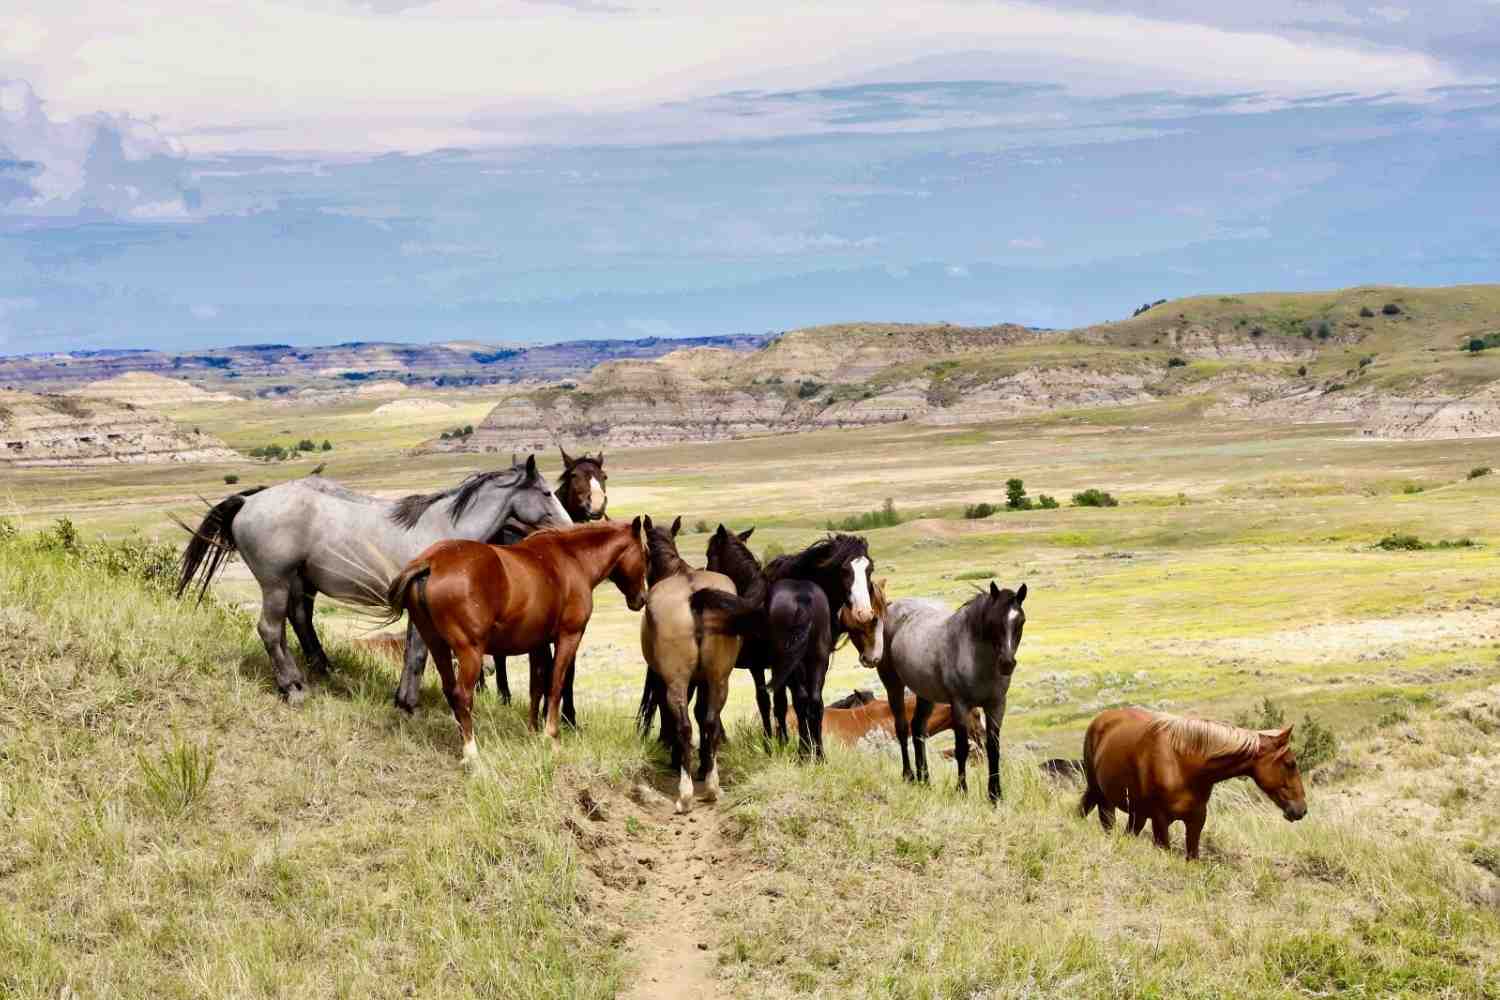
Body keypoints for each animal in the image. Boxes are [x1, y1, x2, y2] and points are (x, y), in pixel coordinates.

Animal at [175, 455, 571, 707]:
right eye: (547, 493)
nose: (570, 529)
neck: (443, 530)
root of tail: (249, 501)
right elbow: (418, 654)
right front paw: (408, 704)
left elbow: (414, 652)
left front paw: (403, 700)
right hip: (275, 583)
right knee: (271, 630)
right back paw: (294, 689)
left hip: (296, 583)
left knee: (296, 623)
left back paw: (316, 674)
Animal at [382, 519, 649, 760]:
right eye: (645, 554)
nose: (642, 599)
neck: (573, 559)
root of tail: (432, 562)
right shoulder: (568, 637)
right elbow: (556, 684)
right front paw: (551, 737)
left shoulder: (538, 643)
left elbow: (537, 685)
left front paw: (533, 732)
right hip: (470, 651)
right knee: (462, 695)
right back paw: (471, 752)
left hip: (437, 645)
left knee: (450, 691)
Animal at [638, 515, 764, 812]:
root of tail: (695, 595)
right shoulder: (704, 680)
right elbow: (704, 716)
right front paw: (704, 764)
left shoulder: (665, 680)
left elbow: (670, 717)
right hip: (719, 679)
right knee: (710, 721)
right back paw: (712, 787)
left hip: (677, 681)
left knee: (684, 725)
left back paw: (685, 794)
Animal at [874, 581, 1028, 803]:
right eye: (993, 621)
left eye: (1020, 621)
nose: (1007, 663)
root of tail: (892, 607)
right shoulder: (960, 706)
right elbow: (961, 749)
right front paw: (962, 791)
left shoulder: (996, 705)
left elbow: (993, 748)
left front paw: (995, 795)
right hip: (893, 685)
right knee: (902, 728)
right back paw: (909, 776)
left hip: (925, 694)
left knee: (918, 728)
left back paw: (925, 780)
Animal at [1080, 707, 1307, 860]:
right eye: (1290, 764)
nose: (1301, 810)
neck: (1182, 762)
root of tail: (1100, 720)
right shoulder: (1160, 821)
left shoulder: (1196, 820)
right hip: (1103, 798)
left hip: (1137, 813)